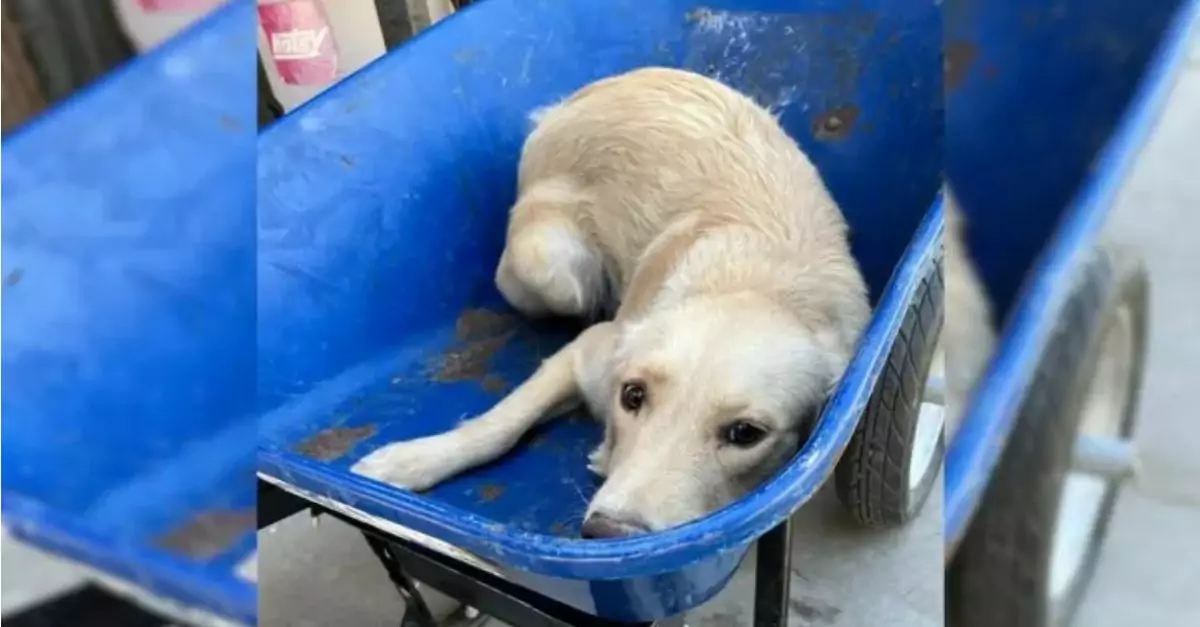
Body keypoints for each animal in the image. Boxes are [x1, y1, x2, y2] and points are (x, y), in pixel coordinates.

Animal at [350, 68, 868, 535]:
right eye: (632, 396)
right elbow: (498, 425)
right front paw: (409, 462)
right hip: (549, 268)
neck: (758, 284)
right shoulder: (590, 352)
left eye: (745, 434)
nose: (607, 533)